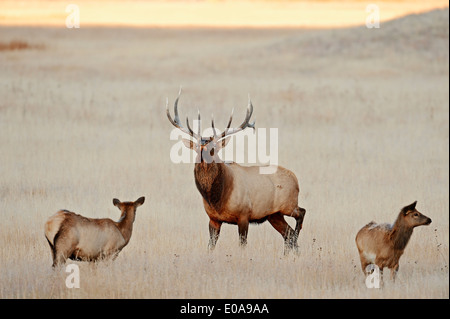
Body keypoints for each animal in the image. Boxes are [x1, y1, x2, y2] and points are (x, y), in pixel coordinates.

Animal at [165, 91, 306, 254]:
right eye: (196, 147)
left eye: (215, 147)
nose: (204, 143)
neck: (217, 199)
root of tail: (296, 179)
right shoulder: (213, 219)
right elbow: (210, 246)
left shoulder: (244, 215)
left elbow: (242, 245)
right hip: (274, 214)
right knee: (288, 234)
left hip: (288, 205)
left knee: (301, 215)